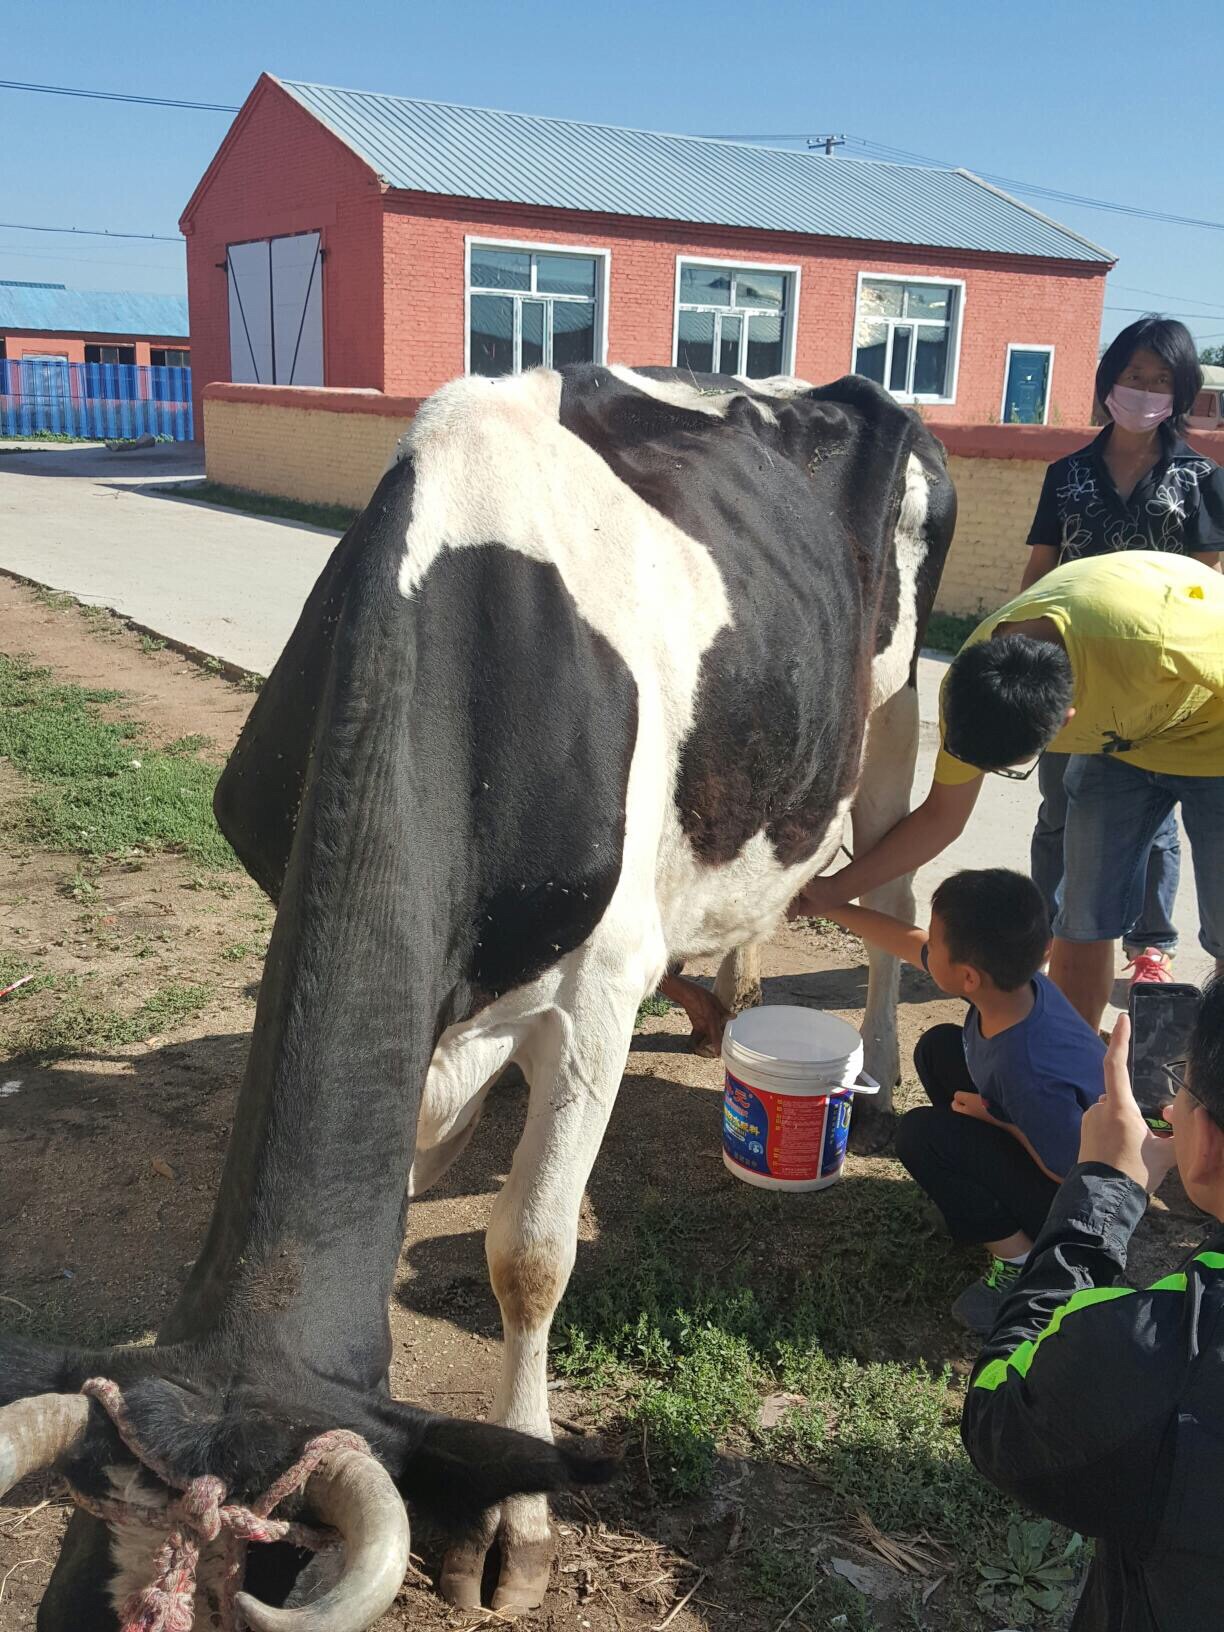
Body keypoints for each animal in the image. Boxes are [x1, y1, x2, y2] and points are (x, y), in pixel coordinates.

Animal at [0, 363, 953, 1625]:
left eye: (245, 1577)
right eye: (77, 1565)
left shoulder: (599, 995)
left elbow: (530, 1253)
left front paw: (515, 1523)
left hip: (894, 706)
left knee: (893, 879)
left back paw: (881, 1062)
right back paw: (734, 990)